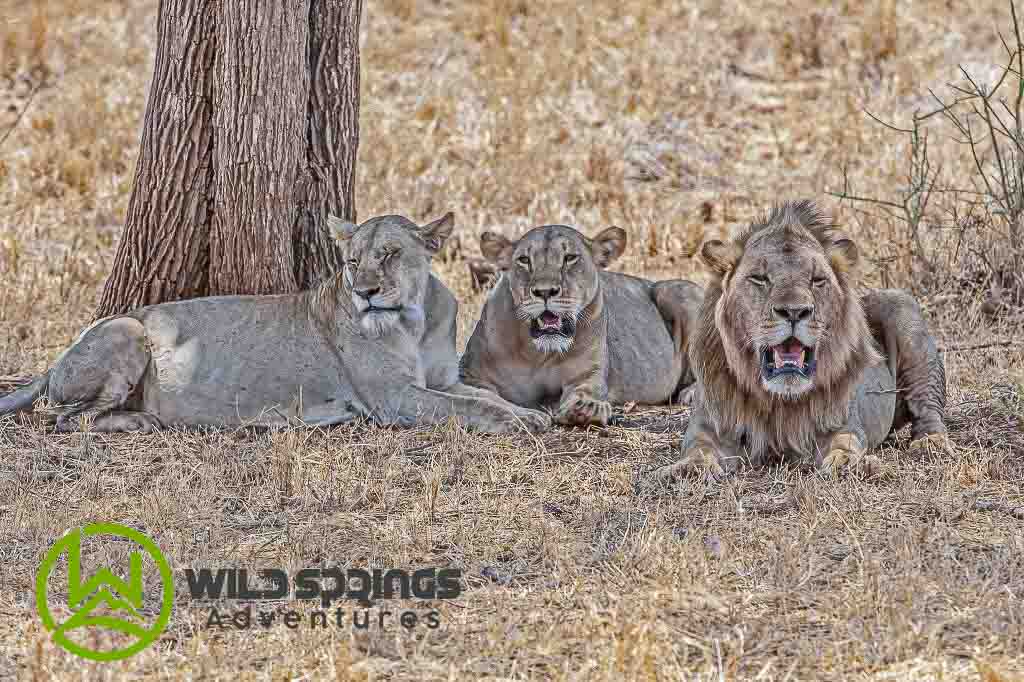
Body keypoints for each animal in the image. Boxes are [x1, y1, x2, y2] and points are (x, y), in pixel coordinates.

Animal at [0, 210, 552, 430]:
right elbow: (472, 409)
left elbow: (483, 396)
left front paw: (534, 415)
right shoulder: (394, 398)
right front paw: (519, 423)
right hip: (129, 328)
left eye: (390, 254)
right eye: (352, 261)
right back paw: (141, 420)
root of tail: (54, 363)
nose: (365, 292)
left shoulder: (440, 380)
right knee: (65, 419)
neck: (414, 320)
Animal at [458, 223, 704, 425]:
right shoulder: (473, 376)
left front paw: (586, 407)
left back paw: (691, 393)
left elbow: (585, 390)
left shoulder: (588, 375)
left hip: (675, 291)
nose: (545, 291)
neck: (538, 354)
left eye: (569, 258)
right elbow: (487, 398)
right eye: (524, 260)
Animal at [651, 199, 946, 481]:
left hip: (901, 305)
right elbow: (698, 446)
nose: (794, 311)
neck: (781, 401)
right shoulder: (709, 424)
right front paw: (690, 468)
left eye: (817, 280)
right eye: (759, 278)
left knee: (928, 408)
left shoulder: (842, 422)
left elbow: (847, 441)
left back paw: (931, 444)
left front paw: (848, 464)